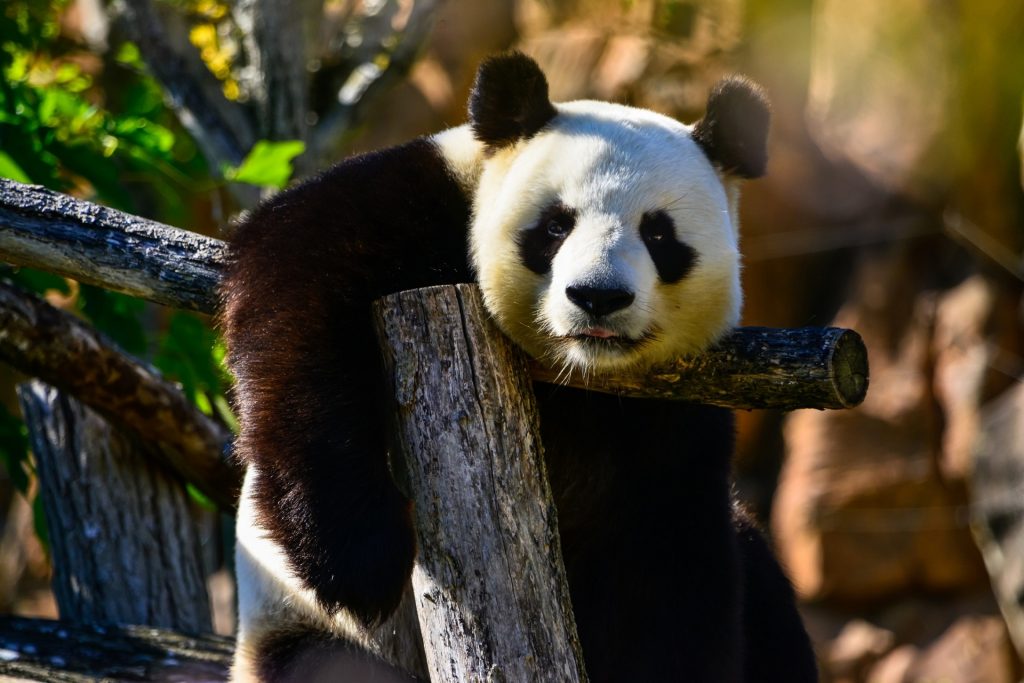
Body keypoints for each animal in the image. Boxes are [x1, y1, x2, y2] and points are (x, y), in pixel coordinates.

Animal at [222, 52, 818, 682]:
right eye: (556, 225)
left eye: (658, 233)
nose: (597, 297)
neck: (578, 378)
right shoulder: (418, 203)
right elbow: (297, 291)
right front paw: (362, 560)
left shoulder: (676, 425)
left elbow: (668, 570)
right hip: (303, 635)